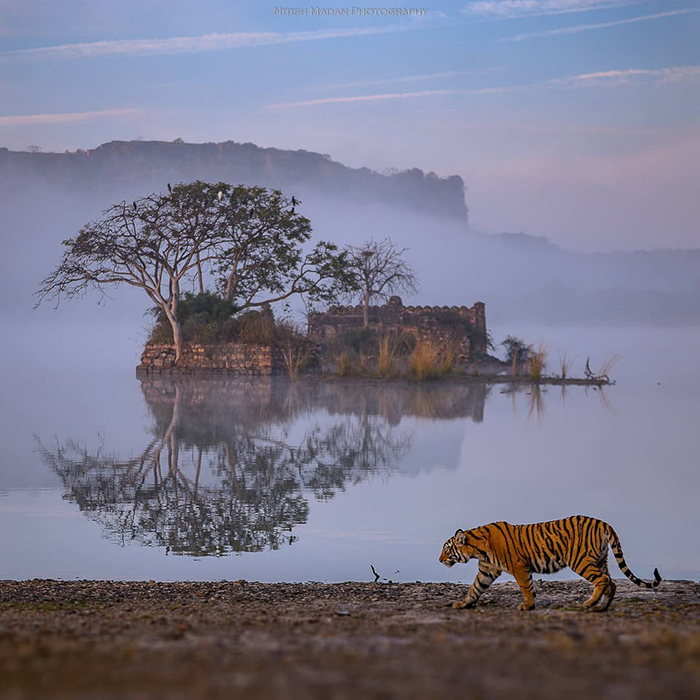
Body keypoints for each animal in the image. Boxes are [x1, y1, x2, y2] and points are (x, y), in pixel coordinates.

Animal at [439, 515, 661, 612]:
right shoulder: (487, 570)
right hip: (600, 559)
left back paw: (589, 603)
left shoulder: (519, 567)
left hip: (580, 560)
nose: (439, 560)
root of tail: (603, 522)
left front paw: (528, 605)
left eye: (447, 549)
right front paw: (463, 603)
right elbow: (475, 588)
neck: (478, 549)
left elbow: (525, 587)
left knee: (602, 580)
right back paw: (601, 607)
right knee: (611, 582)